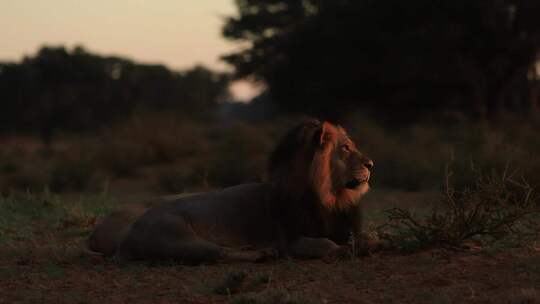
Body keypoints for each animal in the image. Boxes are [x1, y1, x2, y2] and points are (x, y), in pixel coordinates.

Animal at [89, 120, 376, 262]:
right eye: (346, 148)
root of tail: (128, 237)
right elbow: (326, 244)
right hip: (178, 239)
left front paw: (365, 243)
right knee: (218, 254)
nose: (371, 164)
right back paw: (263, 254)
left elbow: (368, 237)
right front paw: (345, 250)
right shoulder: (291, 240)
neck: (331, 197)